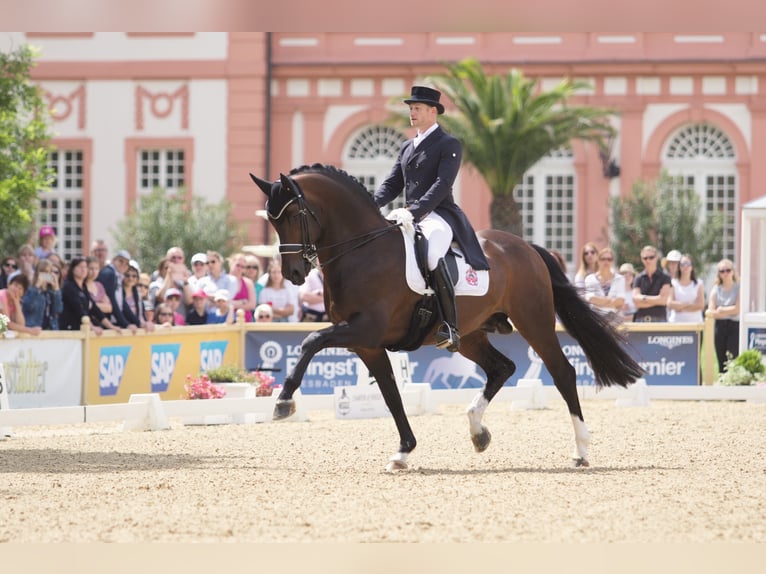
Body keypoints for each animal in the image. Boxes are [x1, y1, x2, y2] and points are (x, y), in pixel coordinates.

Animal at [250, 163, 640, 472]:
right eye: (271, 220)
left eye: (293, 216)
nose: (294, 274)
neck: (363, 249)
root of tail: (526, 247)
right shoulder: (368, 343)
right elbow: (390, 393)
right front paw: (403, 452)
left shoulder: (365, 328)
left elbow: (310, 341)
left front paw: (283, 401)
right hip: (470, 334)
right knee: (502, 368)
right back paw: (478, 431)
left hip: (534, 321)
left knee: (562, 372)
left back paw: (581, 450)